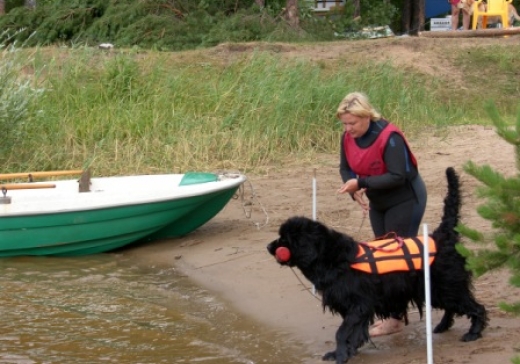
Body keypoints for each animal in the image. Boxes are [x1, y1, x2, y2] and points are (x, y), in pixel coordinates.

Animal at [268, 167, 488, 362]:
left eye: (284, 239)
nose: (269, 246)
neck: (333, 257)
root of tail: (442, 235)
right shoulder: (354, 308)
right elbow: (353, 332)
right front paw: (346, 352)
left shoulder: (359, 305)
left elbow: (342, 332)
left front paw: (340, 355)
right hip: (437, 289)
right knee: (453, 307)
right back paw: (443, 326)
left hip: (446, 285)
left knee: (476, 308)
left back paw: (473, 332)